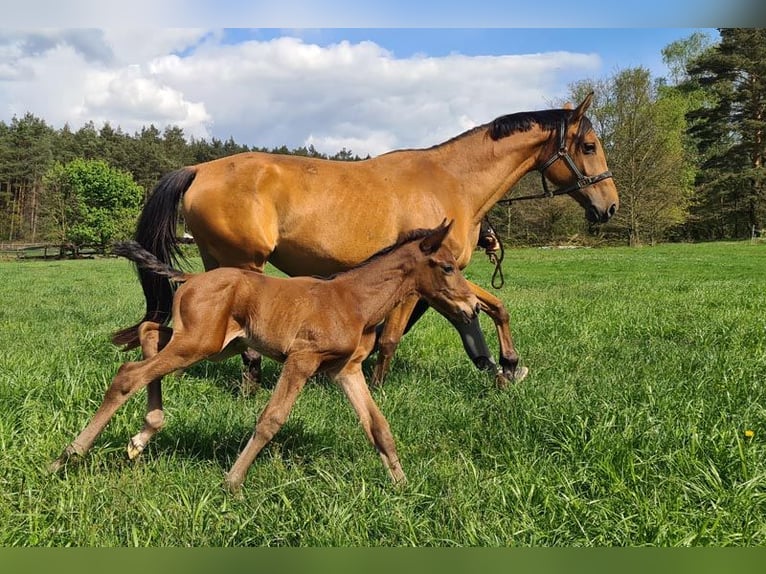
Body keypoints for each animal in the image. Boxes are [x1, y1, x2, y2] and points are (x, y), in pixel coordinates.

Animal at [112, 92, 616, 390]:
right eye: (589, 146)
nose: (609, 206)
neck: (450, 181)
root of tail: (200, 168)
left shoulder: (443, 277)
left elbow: (494, 307)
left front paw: (508, 363)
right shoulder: (421, 279)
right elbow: (393, 339)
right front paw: (376, 386)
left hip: (218, 265)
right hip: (244, 266)